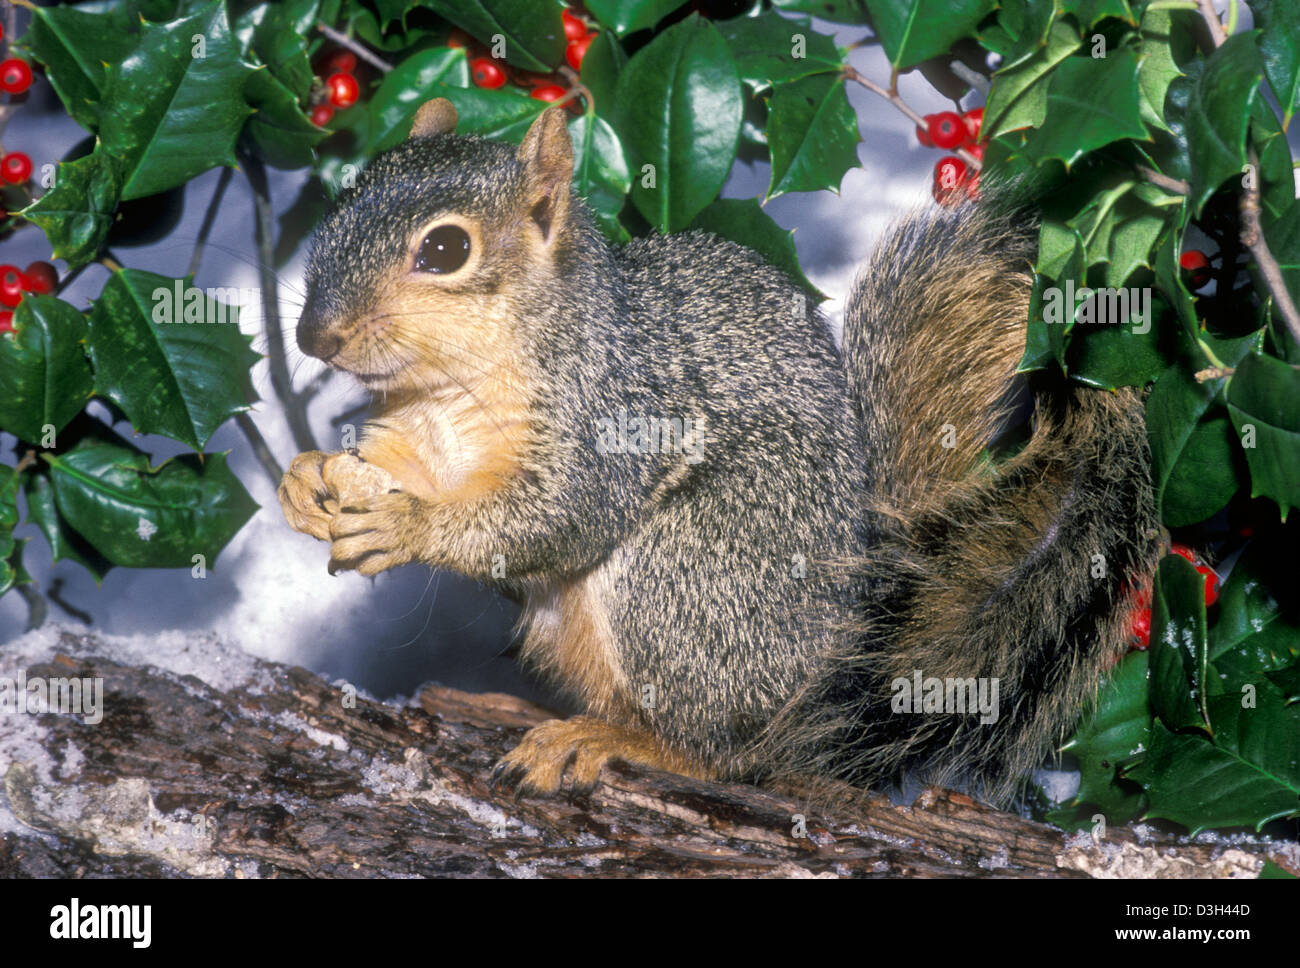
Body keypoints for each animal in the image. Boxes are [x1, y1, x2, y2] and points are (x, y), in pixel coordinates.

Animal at [278, 98, 1161, 805]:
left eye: (444, 251)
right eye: (341, 205)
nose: (313, 337)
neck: (452, 386)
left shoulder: (614, 419)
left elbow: (555, 517)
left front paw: (405, 528)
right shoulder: (419, 435)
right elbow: (405, 470)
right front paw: (304, 481)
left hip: (690, 570)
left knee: (727, 755)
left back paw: (615, 741)